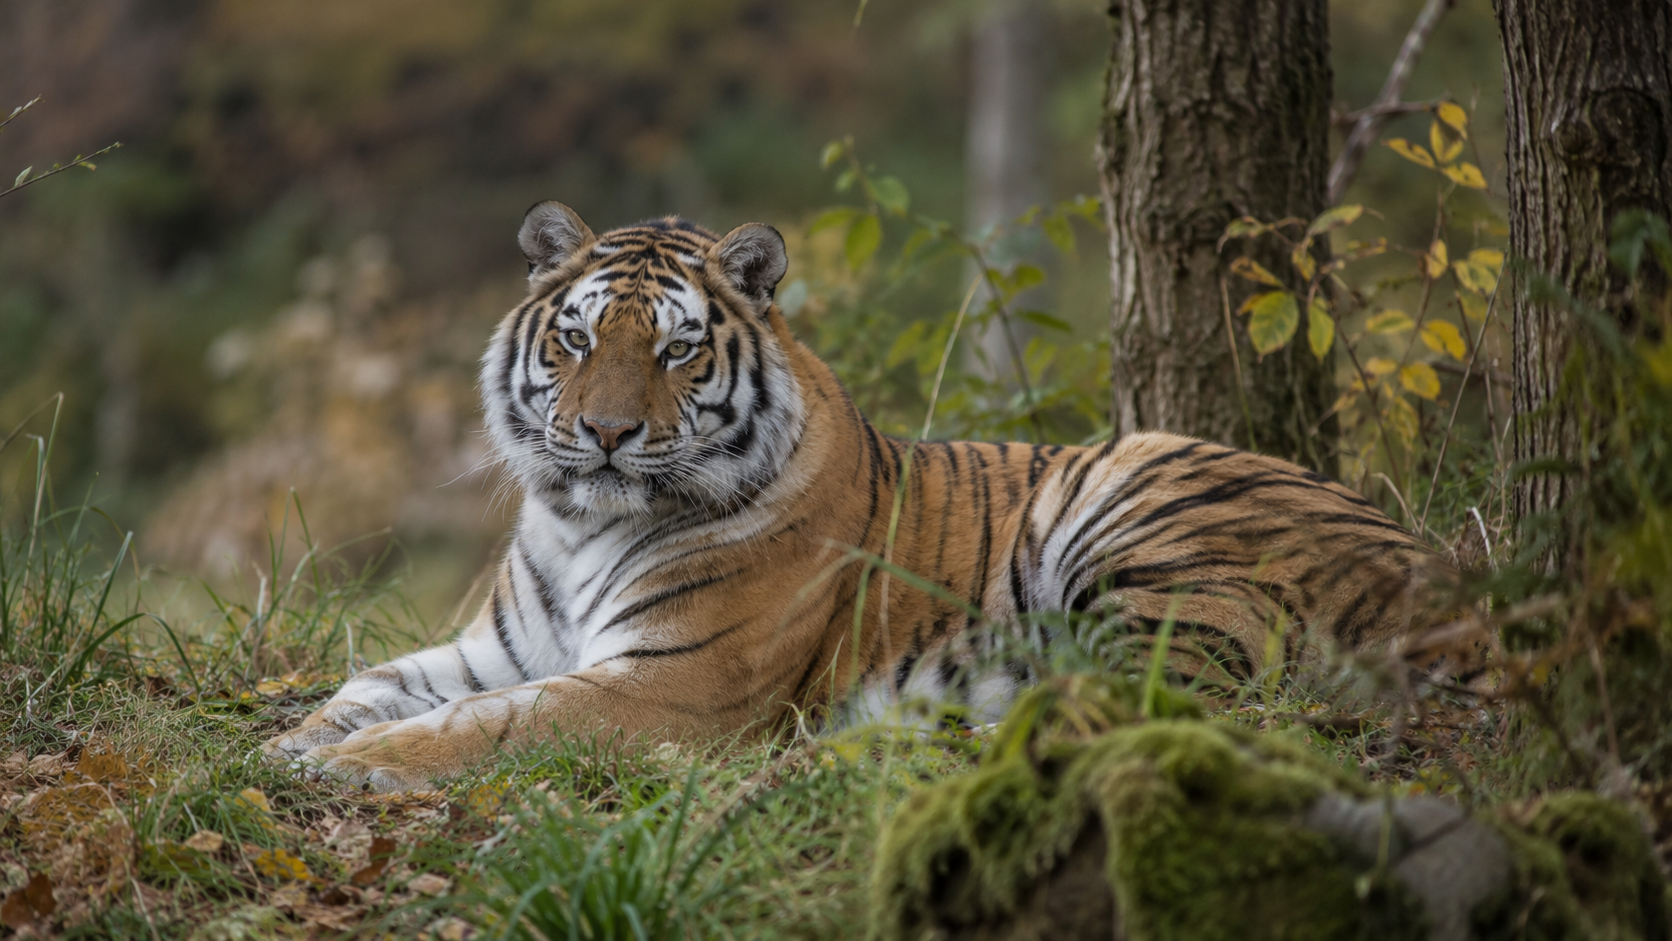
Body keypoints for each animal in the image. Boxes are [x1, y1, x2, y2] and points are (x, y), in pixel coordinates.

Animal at [263, 201, 1434, 791]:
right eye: (579, 338)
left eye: (676, 349)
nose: (604, 433)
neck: (581, 520)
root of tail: (1435, 567)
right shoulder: (499, 647)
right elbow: (372, 682)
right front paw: (289, 743)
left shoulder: (670, 683)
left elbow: (490, 723)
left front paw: (354, 765)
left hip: (1136, 503)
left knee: (1141, 700)